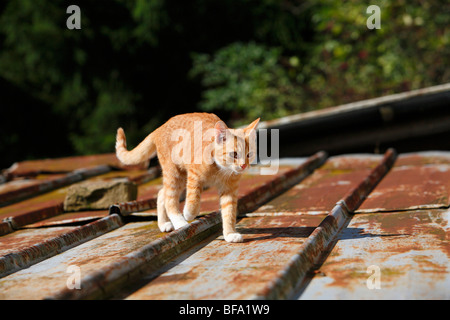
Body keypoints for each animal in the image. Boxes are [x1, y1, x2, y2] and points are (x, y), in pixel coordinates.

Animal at [116, 113, 258, 242]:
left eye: (249, 154)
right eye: (234, 154)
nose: (244, 165)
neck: (221, 169)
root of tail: (160, 127)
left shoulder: (229, 191)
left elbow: (229, 212)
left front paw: (229, 234)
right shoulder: (194, 177)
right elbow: (193, 199)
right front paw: (189, 213)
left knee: (162, 194)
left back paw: (163, 224)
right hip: (175, 174)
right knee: (170, 199)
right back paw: (180, 222)